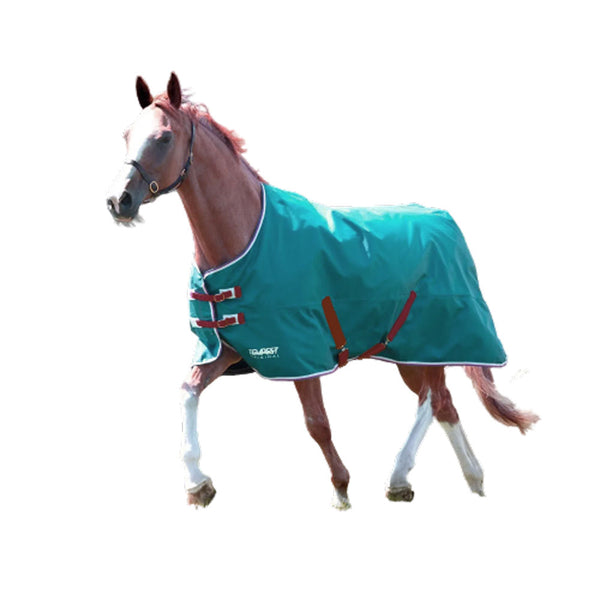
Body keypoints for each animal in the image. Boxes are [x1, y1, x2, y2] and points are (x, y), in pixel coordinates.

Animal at [107, 72, 539, 510]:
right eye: (127, 134)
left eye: (163, 137)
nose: (118, 201)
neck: (245, 238)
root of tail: (445, 221)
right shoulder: (226, 349)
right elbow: (187, 391)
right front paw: (198, 484)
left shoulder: (302, 354)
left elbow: (317, 424)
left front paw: (341, 488)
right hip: (411, 353)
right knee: (443, 403)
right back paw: (468, 479)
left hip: (430, 341)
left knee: (433, 400)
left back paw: (405, 476)